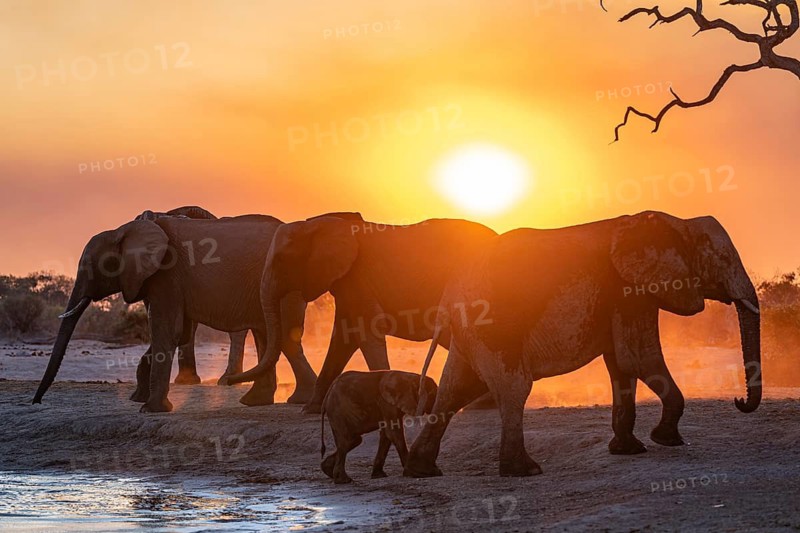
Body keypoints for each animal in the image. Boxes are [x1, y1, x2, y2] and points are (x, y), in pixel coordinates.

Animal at [220, 213, 498, 414]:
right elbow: (343, 338)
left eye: (280, 261)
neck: (319, 225)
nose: (228, 380)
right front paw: (310, 410)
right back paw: (482, 403)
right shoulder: (346, 280)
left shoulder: (358, 276)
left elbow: (365, 331)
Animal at [404, 211, 761, 478]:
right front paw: (667, 440)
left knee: (454, 388)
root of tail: (449, 295)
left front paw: (630, 450)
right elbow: (638, 358)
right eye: (723, 258)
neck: (678, 224)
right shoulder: (629, 290)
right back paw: (525, 471)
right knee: (513, 387)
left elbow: (621, 365)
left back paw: (421, 470)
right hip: (496, 325)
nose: (738, 400)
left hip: (472, 333)